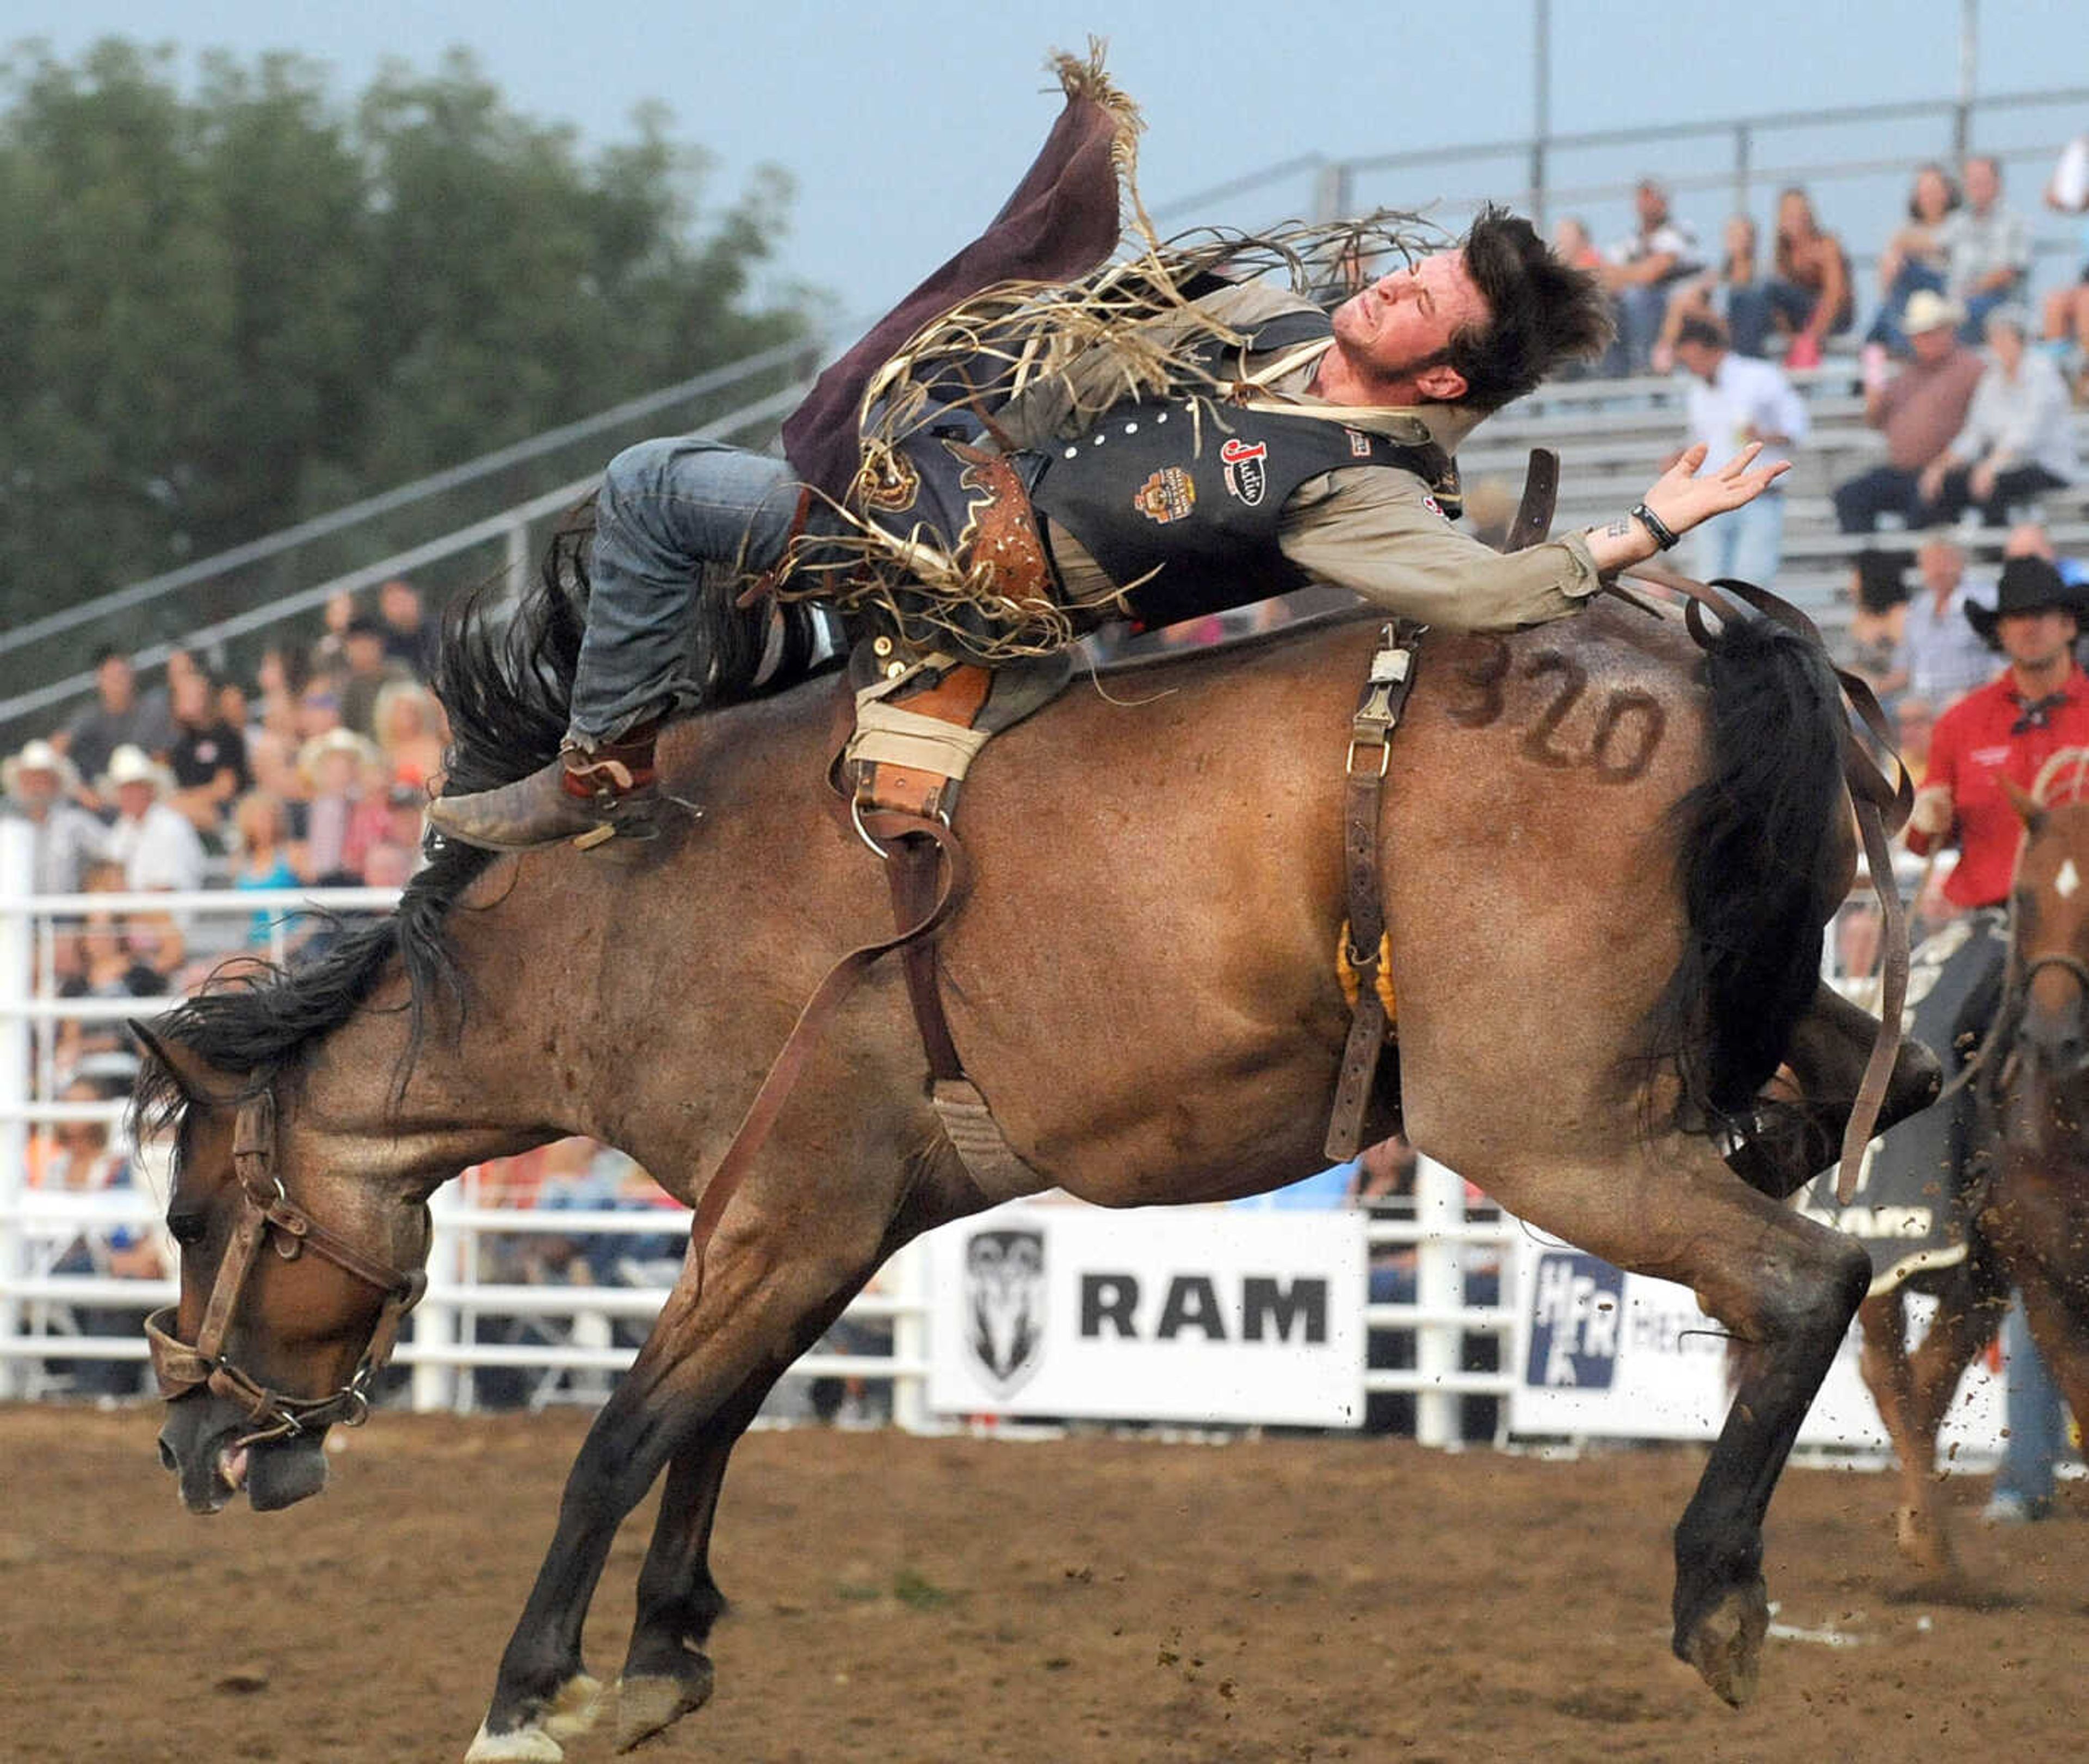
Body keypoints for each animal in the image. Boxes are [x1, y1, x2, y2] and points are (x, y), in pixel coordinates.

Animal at [143, 547, 1938, 1745]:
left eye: (187, 1216)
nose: (187, 1441)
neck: (627, 905)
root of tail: (1699, 648)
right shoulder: (829, 1219)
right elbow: (711, 1423)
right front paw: (663, 1653)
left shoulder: (780, 1207)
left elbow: (625, 1431)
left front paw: (530, 1693)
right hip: (1756, 1021)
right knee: (1895, 1093)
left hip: (1539, 1122)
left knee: (1810, 1274)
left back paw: (1719, 1593)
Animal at [1863, 751, 2089, 1578]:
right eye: (2025, 893)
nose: (2053, 1038)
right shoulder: (2048, 1281)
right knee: (1888, 1373)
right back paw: (1927, 1543)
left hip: (1978, 1273)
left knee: (1929, 1375)